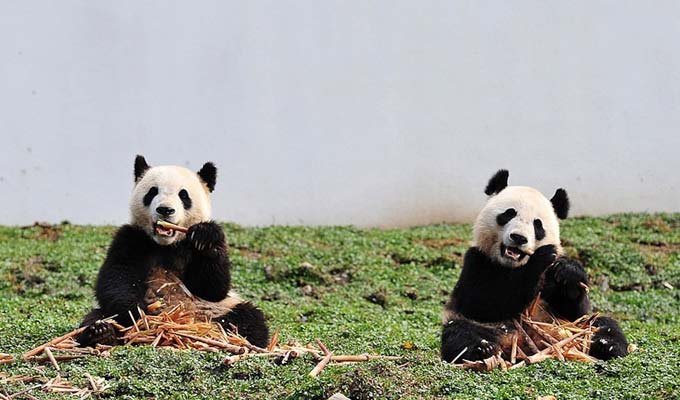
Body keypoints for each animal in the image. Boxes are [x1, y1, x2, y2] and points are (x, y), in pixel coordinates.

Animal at [78, 155, 270, 346]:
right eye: (152, 192)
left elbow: (213, 289)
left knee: (250, 318)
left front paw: (205, 238)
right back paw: (102, 332)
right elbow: (117, 278)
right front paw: (138, 314)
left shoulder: (194, 249)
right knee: (96, 316)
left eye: (183, 195)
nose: (165, 209)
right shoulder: (132, 238)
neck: (167, 245)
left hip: (221, 308)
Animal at [440, 170, 628, 364]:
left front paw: (569, 272)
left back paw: (607, 345)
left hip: (573, 326)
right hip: (481, 326)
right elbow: (482, 302)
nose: (519, 238)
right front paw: (541, 258)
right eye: (509, 214)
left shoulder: (555, 288)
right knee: (460, 331)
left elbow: (576, 310)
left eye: (537, 224)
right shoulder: (477, 261)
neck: (513, 266)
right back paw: (482, 349)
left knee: (603, 324)